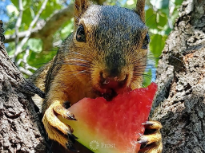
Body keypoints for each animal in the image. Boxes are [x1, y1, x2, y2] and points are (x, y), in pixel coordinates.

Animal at [30, 0, 163, 152]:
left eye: (146, 39)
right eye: (80, 32)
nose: (113, 77)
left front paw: (154, 136)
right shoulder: (60, 73)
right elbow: (53, 95)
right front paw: (54, 111)